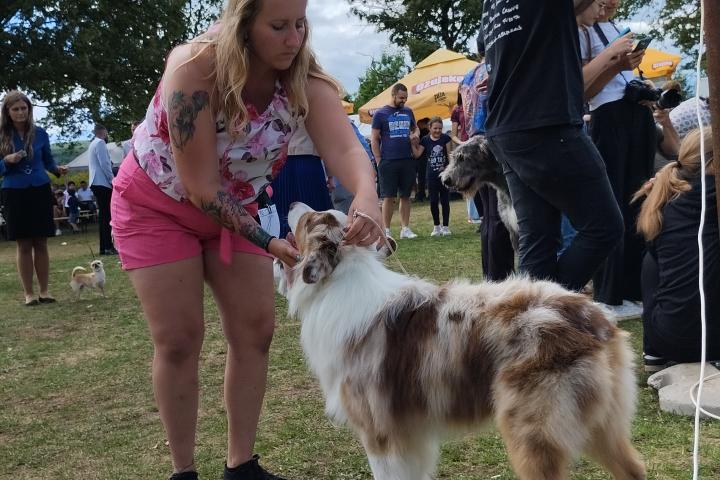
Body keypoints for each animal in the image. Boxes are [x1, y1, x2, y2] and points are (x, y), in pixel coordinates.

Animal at [285, 203, 645, 480]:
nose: (289, 203)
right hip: (602, 422)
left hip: (534, 430)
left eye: (308, 219)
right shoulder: (410, 433)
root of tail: (595, 319)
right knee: (633, 468)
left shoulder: (379, 431)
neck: (340, 279)